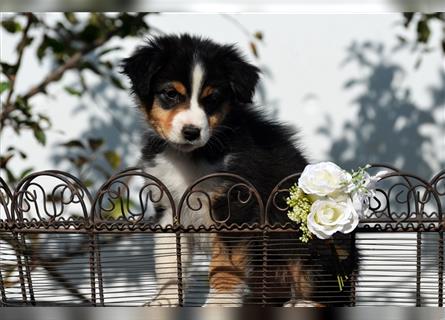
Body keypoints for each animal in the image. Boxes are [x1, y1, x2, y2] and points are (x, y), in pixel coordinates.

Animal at [120, 33, 350, 306]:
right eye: (170, 94)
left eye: (212, 98)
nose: (191, 132)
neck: (193, 157)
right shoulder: (169, 208)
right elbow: (168, 261)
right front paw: (165, 300)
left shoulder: (237, 207)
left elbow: (225, 265)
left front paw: (220, 303)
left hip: (310, 244)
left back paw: (303, 303)